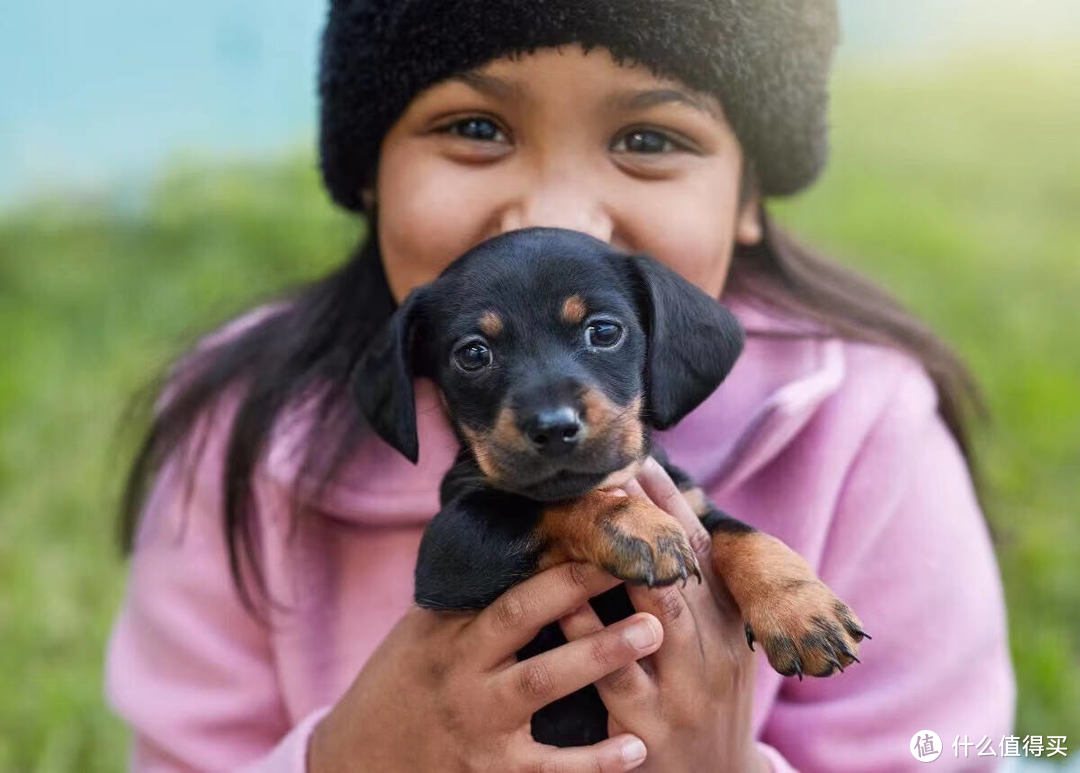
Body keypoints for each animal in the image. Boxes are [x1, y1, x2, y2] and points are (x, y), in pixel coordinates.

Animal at [354, 226, 868, 747]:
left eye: (603, 332)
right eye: (473, 354)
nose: (554, 428)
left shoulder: (691, 502)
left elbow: (745, 535)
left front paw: (801, 611)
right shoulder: (449, 550)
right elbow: (552, 503)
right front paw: (637, 527)